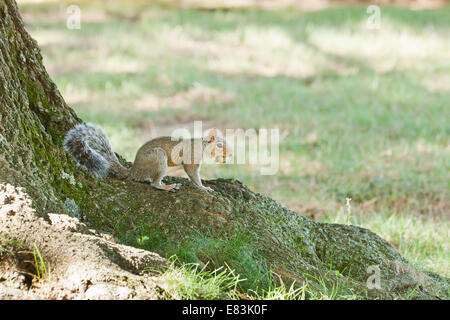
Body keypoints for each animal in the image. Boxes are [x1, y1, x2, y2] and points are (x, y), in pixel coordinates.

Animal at [62, 124, 232, 191]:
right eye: (219, 145)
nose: (230, 154)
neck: (200, 147)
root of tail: (133, 171)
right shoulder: (191, 159)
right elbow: (193, 175)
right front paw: (204, 188)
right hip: (158, 157)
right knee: (154, 184)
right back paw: (167, 186)